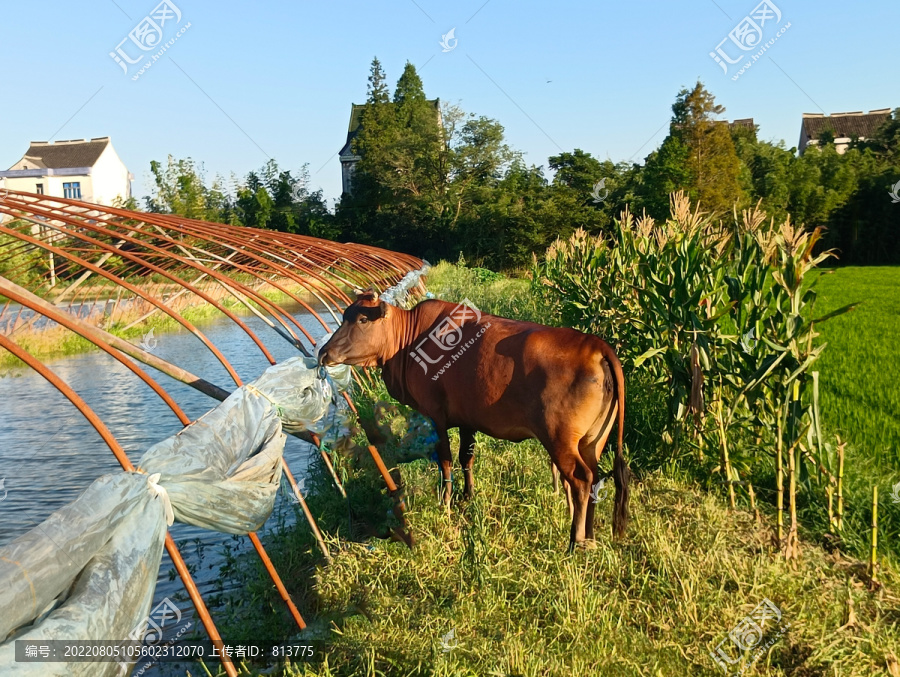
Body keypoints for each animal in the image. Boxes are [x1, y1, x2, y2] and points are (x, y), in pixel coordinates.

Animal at [320, 292, 628, 548]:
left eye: (362, 319)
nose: (324, 353)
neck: (409, 342)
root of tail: (595, 345)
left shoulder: (435, 416)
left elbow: (445, 460)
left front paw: (445, 503)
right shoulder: (467, 420)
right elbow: (466, 458)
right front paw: (468, 496)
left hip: (560, 440)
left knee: (580, 480)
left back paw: (575, 541)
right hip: (592, 442)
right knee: (595, 477)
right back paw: (590, 536)